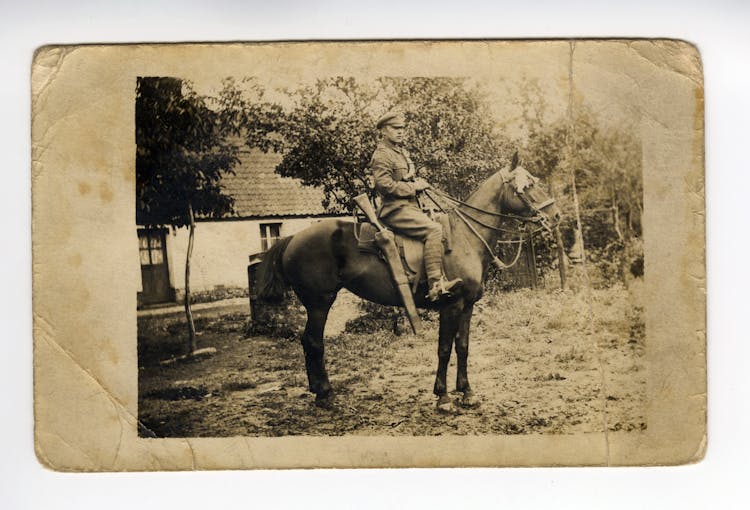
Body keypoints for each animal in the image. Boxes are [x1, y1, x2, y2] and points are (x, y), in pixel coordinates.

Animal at [256, 159, 560, 410]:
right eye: (528, 186)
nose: (555, 216)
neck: (465, 237)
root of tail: (292, 239)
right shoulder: (450, 306)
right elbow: (444, 349)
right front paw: (443, 397)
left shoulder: (467, 306)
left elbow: (462, 347)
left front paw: (467, 393)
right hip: (319, 302)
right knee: (313, 342)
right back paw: (325, 395)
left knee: (309, 341)